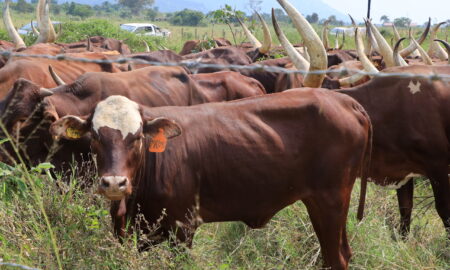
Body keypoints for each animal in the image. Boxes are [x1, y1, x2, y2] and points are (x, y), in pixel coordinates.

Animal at [51, 90, 370, 270]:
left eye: (138, 137)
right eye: (95, 137)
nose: (115, 183)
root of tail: (344, 99)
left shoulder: (183, 229)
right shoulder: (128, 232)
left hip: (330, 200)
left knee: (337, 258)